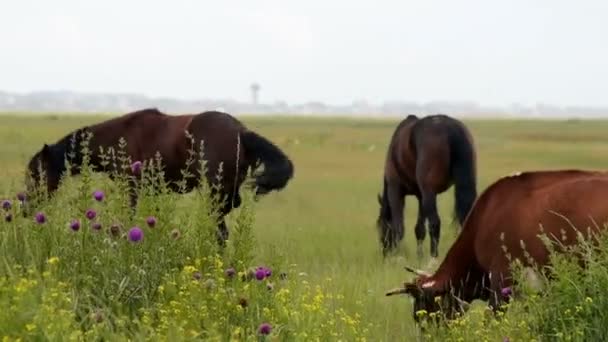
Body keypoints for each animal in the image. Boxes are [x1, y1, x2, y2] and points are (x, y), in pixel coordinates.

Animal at [25, 108, 296, 244]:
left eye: (35, 174)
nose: (25, 206)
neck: (117, 137)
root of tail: (242, 132)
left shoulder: (132, 187)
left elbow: (128, 218)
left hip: (215, 194)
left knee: (219, 233)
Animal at [376, 113, 480, 260]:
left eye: (380, 226)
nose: (385, 253)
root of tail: (451, 128)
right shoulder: (420, 196)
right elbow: (419, 229)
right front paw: (419, 257)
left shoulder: (395, 190)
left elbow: (399, 228)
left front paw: (398, 258)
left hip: (429, 192)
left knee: (435, 223)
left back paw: (433, 257)